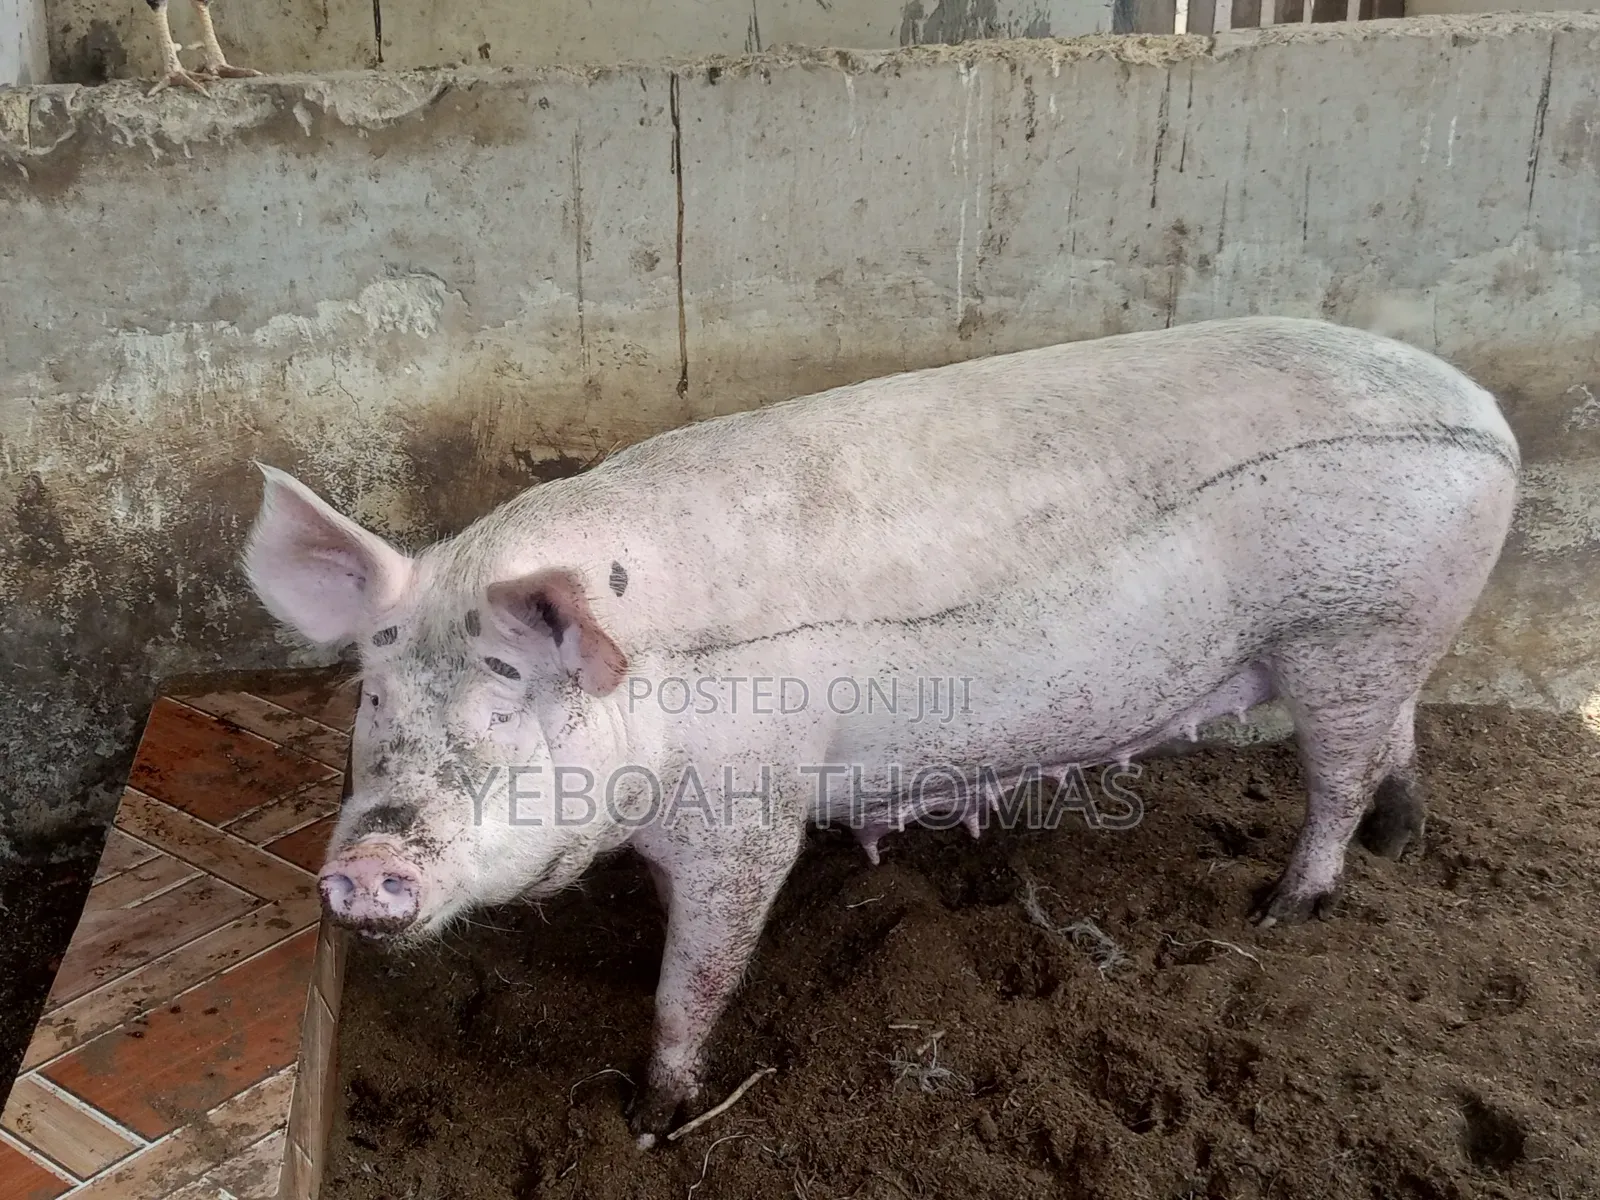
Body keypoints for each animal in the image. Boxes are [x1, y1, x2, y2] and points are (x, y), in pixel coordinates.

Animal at [242, 315, 1518, 1141]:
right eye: (374, 694)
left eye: (510, 692)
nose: (364, 865)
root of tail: (1490, 415)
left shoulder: (750, 812)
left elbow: (697, 972)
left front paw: (652, 1119)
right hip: (1384, 636)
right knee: (1396, 739)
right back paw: (1405, 841)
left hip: (1347, 627)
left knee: (1337, 779)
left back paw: (1287, 908)